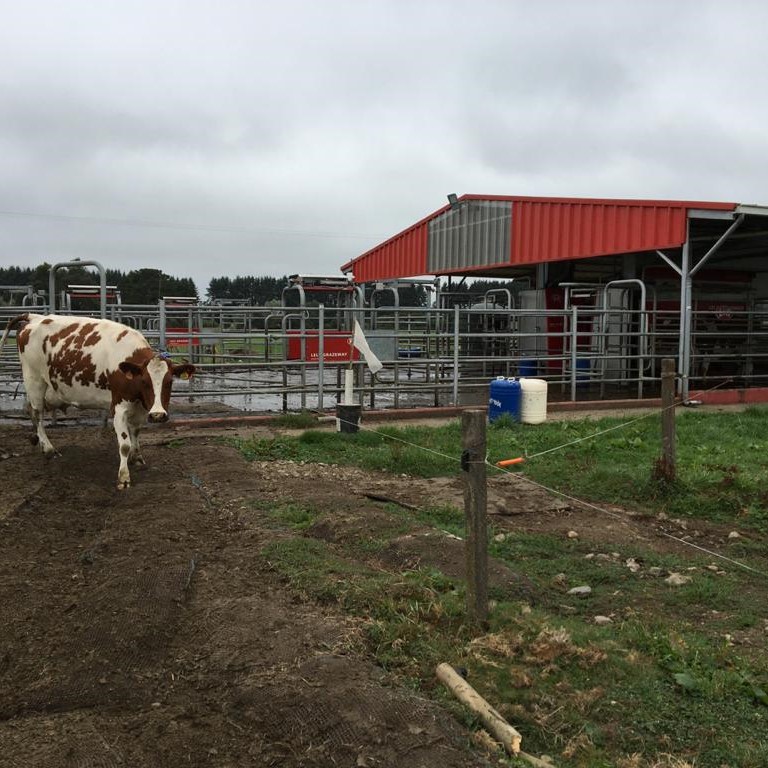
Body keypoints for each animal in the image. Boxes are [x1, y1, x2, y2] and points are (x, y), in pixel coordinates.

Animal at [0, 313, 194, 489]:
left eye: (169, 382)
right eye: (145, 381)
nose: (158, 415)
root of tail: (34, 317)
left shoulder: (141, 408)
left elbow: (136, 433)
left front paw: (137, 457)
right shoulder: (118, 408)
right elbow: (124, 444)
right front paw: (124, 477)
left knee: (29, 409)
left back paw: (35, 439)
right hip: (34, 380)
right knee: (37, 414)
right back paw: (48, 449)